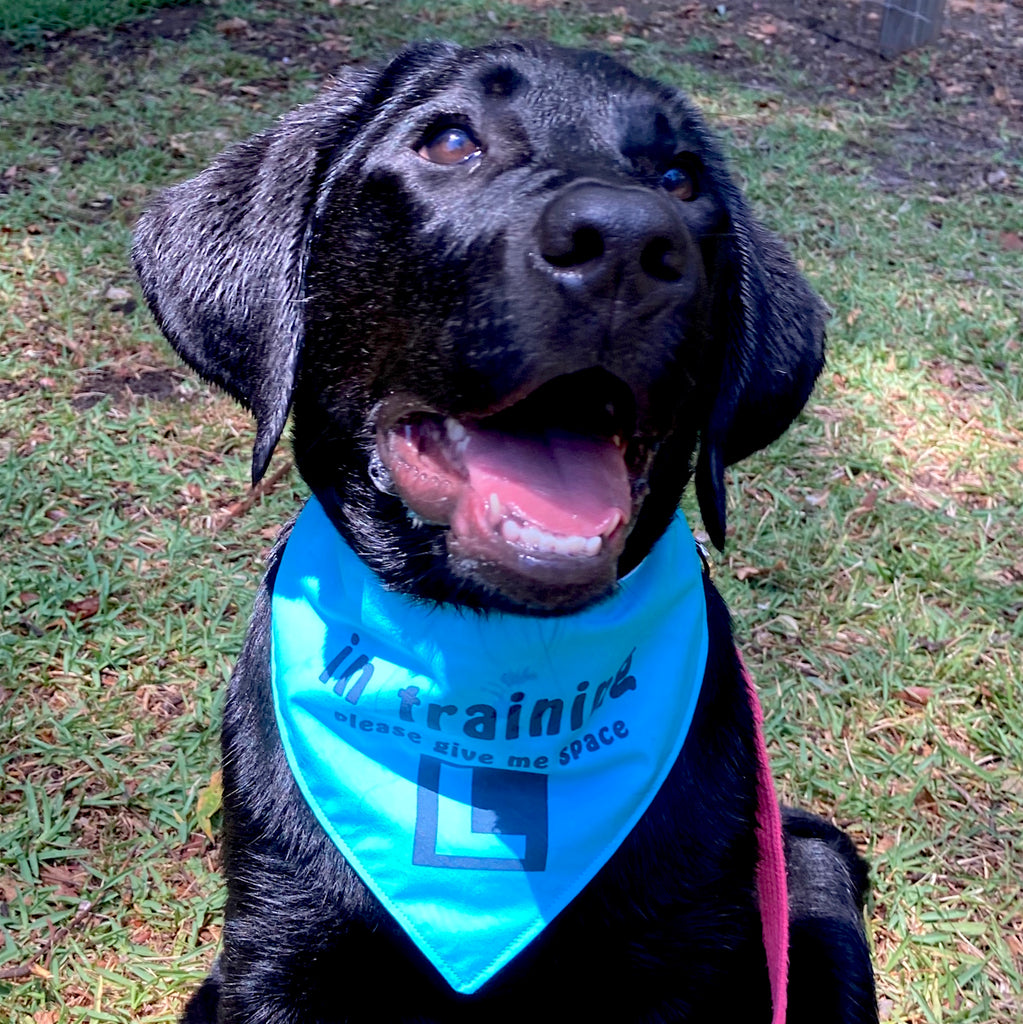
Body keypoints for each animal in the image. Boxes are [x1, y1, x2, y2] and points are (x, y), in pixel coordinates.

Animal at [132, 39, 876, 1024]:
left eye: (680, 179)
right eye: (449, 141)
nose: (626, 242)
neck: (491, 651)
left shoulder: (683, 952)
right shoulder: (283, 943)